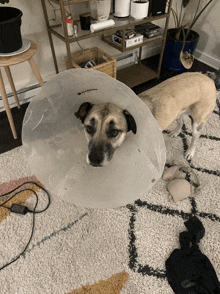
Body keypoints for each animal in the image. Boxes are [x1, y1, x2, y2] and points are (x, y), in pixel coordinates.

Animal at [75, 72, 216, 167]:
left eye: (114, 132)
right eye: (89, 128)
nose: (94, 159)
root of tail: (208, 78)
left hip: (198, 123)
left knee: (195, 138)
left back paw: (190, 152)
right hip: (177, 112)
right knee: (180, 121)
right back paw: (176, 132)